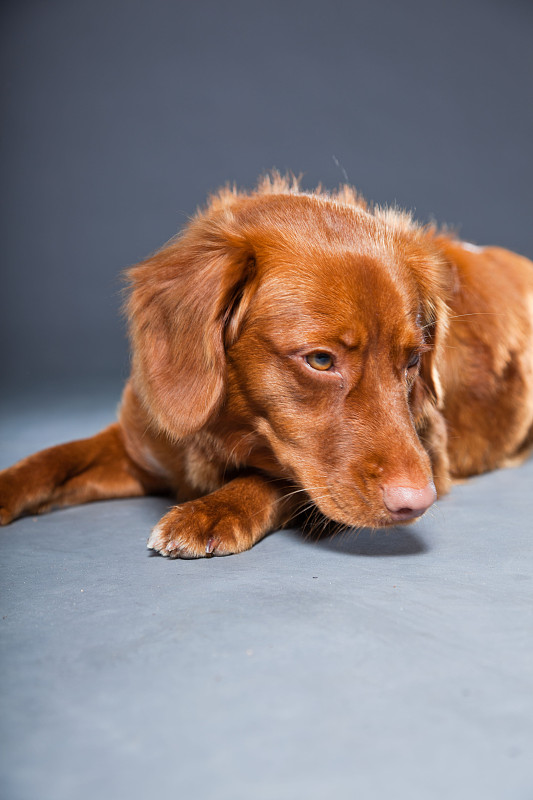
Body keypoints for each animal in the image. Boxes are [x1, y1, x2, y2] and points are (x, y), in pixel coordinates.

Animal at [1, 177, 532, 556]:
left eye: (413, 361)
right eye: (320, 360)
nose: (418, 502)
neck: (224, 424)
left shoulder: (429, 451)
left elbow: (275, 478)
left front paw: (213, 509)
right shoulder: (136, 447)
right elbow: (51, 460)